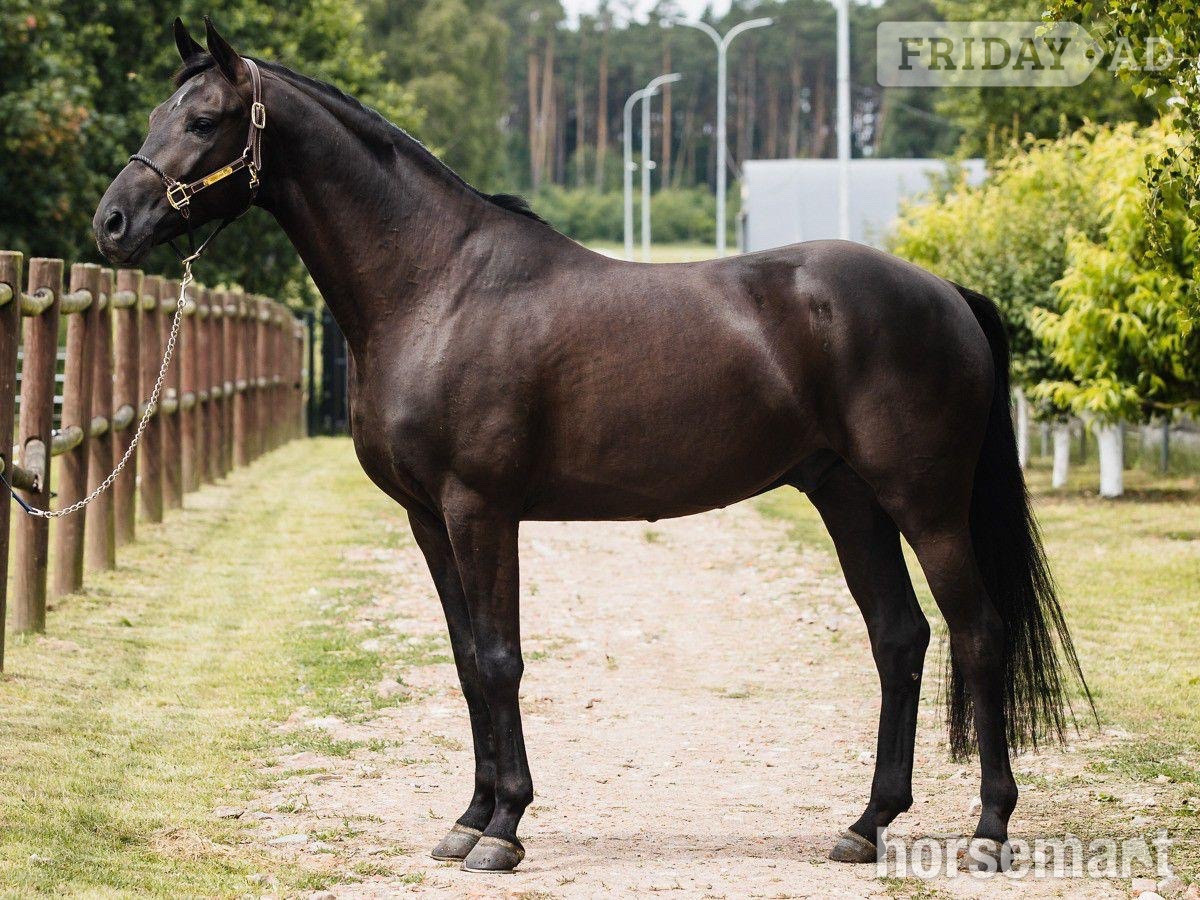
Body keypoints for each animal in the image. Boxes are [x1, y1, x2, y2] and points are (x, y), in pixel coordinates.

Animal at [94, 18, 1088, 874]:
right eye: (155, 116)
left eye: (206, 120)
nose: (112, 224)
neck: (436, 287)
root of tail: (946, 292)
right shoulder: (427, 519)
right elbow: (468, 661)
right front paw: (468, 819)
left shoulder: (480, 508)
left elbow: (502, 658)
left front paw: (504, 830)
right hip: (848, 498)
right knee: (900, 638)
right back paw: (866, 824)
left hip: (926, 504)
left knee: (978, 633)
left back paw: (989, 830)